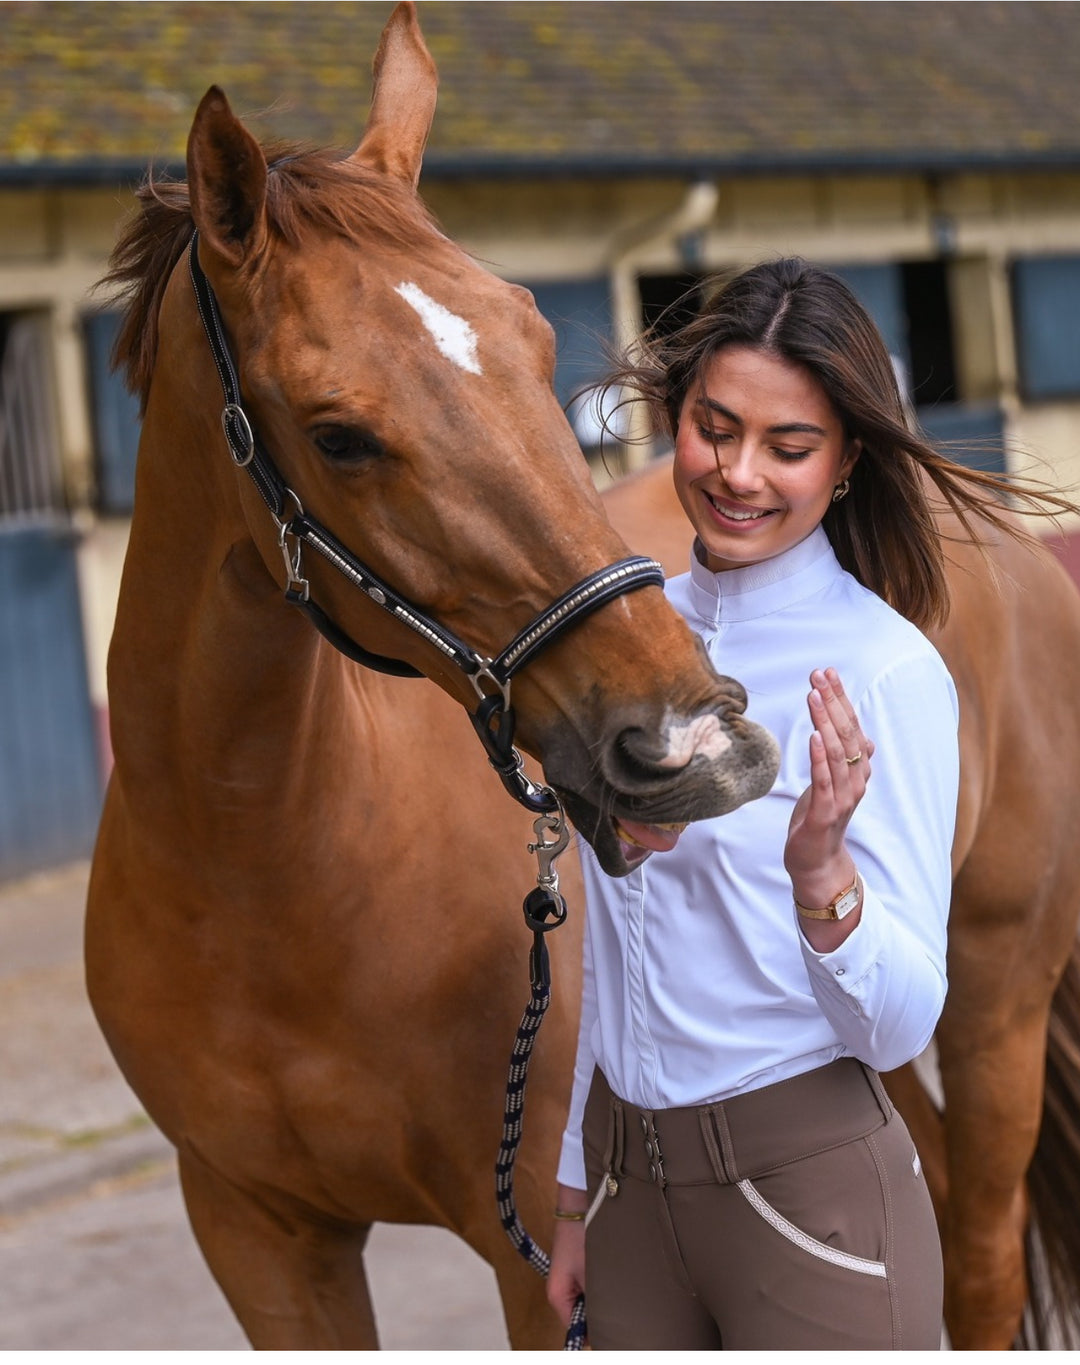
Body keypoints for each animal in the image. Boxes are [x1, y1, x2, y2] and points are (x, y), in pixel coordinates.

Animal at [85, 3, 780, 1350]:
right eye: (340, 436)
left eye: (536, 339)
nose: (692, 745)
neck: (266, 874)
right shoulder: (260, 1242)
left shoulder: (547, 1259)